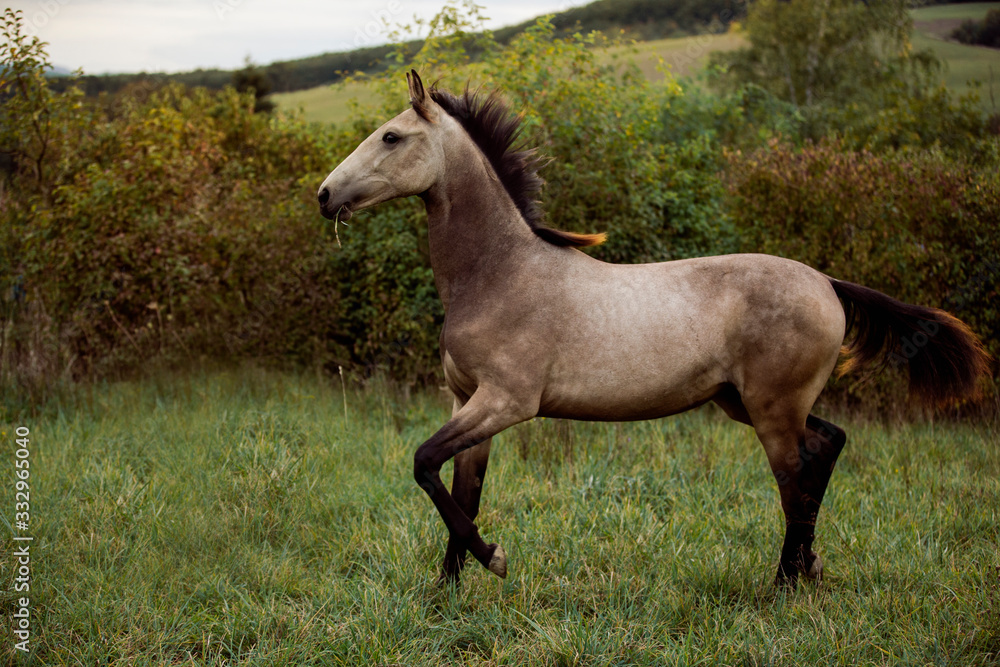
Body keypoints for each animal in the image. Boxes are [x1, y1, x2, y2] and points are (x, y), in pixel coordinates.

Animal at [316, 70, 988, 588]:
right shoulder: (465, 402)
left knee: (794, 479)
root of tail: (826, 282)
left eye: (391, 136)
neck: (499, 275)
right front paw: (447, 591)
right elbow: (461, 489)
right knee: (827, 446)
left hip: (772, 409)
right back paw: (809, 569)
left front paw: (495, 560)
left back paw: (784, 584)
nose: (324, 195)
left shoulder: (505, 402)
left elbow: (424, 463)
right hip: (747, 403)